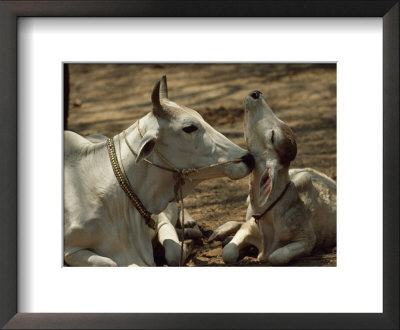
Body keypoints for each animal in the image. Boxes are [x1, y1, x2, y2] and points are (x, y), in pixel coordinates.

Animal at [64, 76, 255, 266]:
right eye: (189, 127)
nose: (248, 158)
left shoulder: (159, 217)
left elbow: (174, 252)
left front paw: (189, 243)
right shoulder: (70, 250)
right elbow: (111, 263)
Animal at [214, 90, 336, 266]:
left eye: (272, 136)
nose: (255, 93)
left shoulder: (307, 240)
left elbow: (276, 257)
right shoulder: (249, 226)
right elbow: (228, 253)